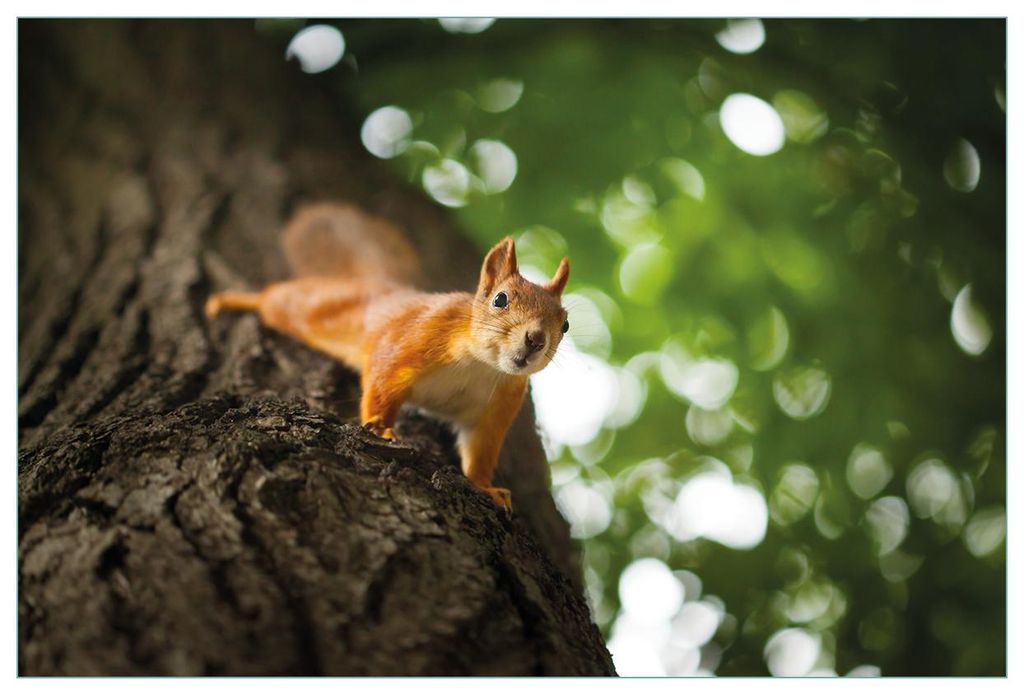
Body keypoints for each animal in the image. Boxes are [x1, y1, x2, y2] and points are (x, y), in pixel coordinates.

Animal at [205, 202, 570, 512]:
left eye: (565, 324)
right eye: (500, 299)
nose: (535, 339)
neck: (481, 366)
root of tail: (378, 286)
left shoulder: (495, 409)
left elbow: (479, 451)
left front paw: (485, 487)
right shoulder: (408, 341)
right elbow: (382, 383)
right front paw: (381, 429)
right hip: (306, 307)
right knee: (273, 298)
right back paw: (231, 300)